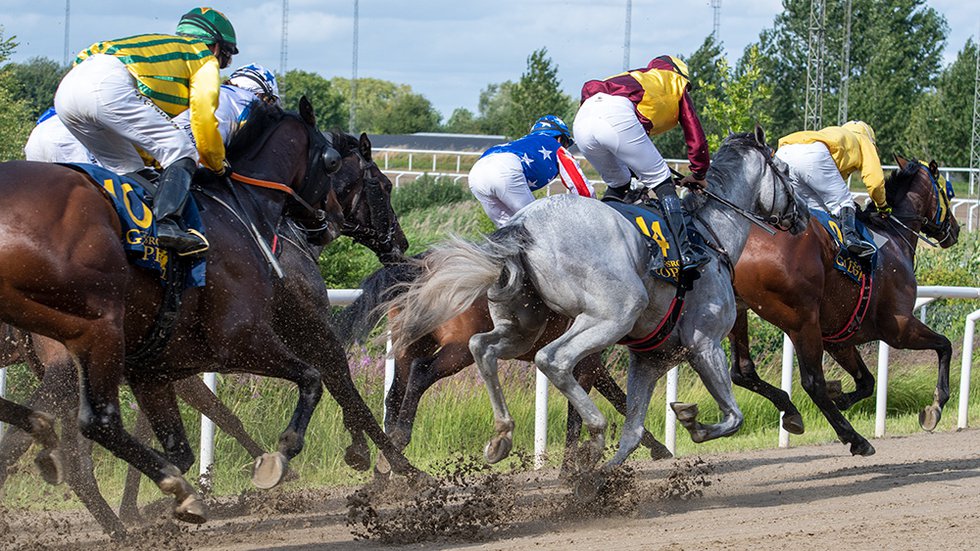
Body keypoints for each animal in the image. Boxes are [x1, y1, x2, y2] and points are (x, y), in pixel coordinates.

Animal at [0, 99, 416, 528]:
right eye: (384, 186)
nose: (400, 243)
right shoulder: (297, 327)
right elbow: (340, 386)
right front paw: (390, 463)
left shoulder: (166, 363)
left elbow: (189, 425)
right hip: (72, 363)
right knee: (44, 448)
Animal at [386, 128, 808, 470]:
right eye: (787, 172)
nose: (803, 215)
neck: (709, 233)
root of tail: (521, 227)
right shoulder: (704, 343)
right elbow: (732, 417)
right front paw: (690, 421)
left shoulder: (650, 359)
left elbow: (633, 432)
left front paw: (596, 485)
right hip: (613, 313)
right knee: (553, 360)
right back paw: (594, 427)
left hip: (522, 324)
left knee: (483, 348)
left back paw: (501, 436)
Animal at [732, 156, 960, 458]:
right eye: (947, 193)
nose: (956, 230)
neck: (893, 234)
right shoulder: (898, 328)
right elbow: (945, 345)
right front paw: (934, 407)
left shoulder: (840, 338)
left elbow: (867, 382)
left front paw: (840, 397)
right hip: (801, 321)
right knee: (812, 383)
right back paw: (855, 438)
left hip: (738, 310)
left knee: (742, 371)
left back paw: (790, 410)